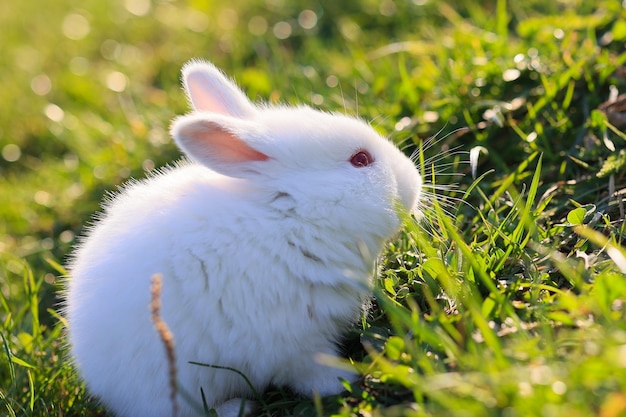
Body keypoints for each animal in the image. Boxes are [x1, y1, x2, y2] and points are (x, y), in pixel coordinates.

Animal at [66, 59, 422, 416]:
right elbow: (311, 373)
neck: (289, 217)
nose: (415, 182)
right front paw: (346, 380)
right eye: (360, 159)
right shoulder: (292, 343)